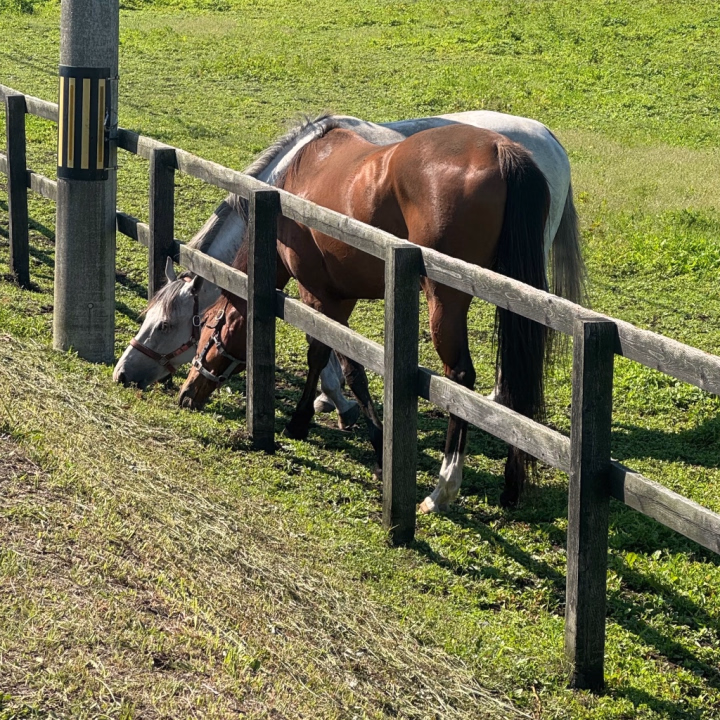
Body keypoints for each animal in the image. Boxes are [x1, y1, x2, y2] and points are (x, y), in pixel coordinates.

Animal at [112, 111, 583, 429]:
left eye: (165, 326)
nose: (122, 373)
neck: (287, 186)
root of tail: (547, 140)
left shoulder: (318, 283)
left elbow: (326, 343)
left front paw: (338, 402)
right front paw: (332, 399)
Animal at [178, 122, 559, 511]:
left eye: (206, 327)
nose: (186, 393)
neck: (292, 185)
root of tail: (498, 149)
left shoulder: (318, 294)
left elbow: (331, 360)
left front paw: (314, 426)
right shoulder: (340, 298)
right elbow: (340, 363)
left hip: (446, 299)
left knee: (461, 377)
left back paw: (442, 489)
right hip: (514, 296)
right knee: (517, 378)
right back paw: (511, 486)